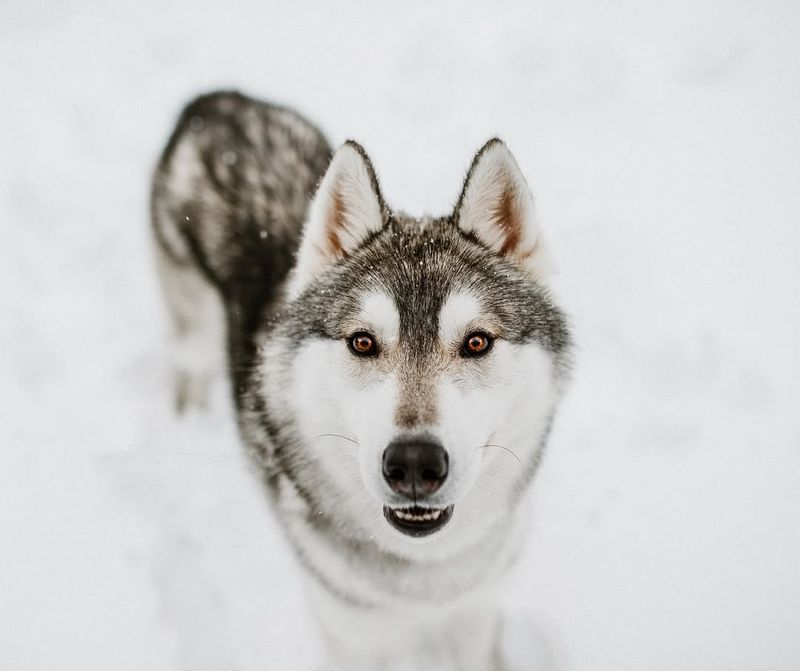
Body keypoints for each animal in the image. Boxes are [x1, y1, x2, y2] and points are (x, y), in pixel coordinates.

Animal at [150, 90, 572, 671]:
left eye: (477, 342)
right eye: (363, 342)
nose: (414, 464)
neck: (426, 576)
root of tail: (215, 100)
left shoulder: (476, 614)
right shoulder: (350, 633)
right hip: (191, 327)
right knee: (188, 367)